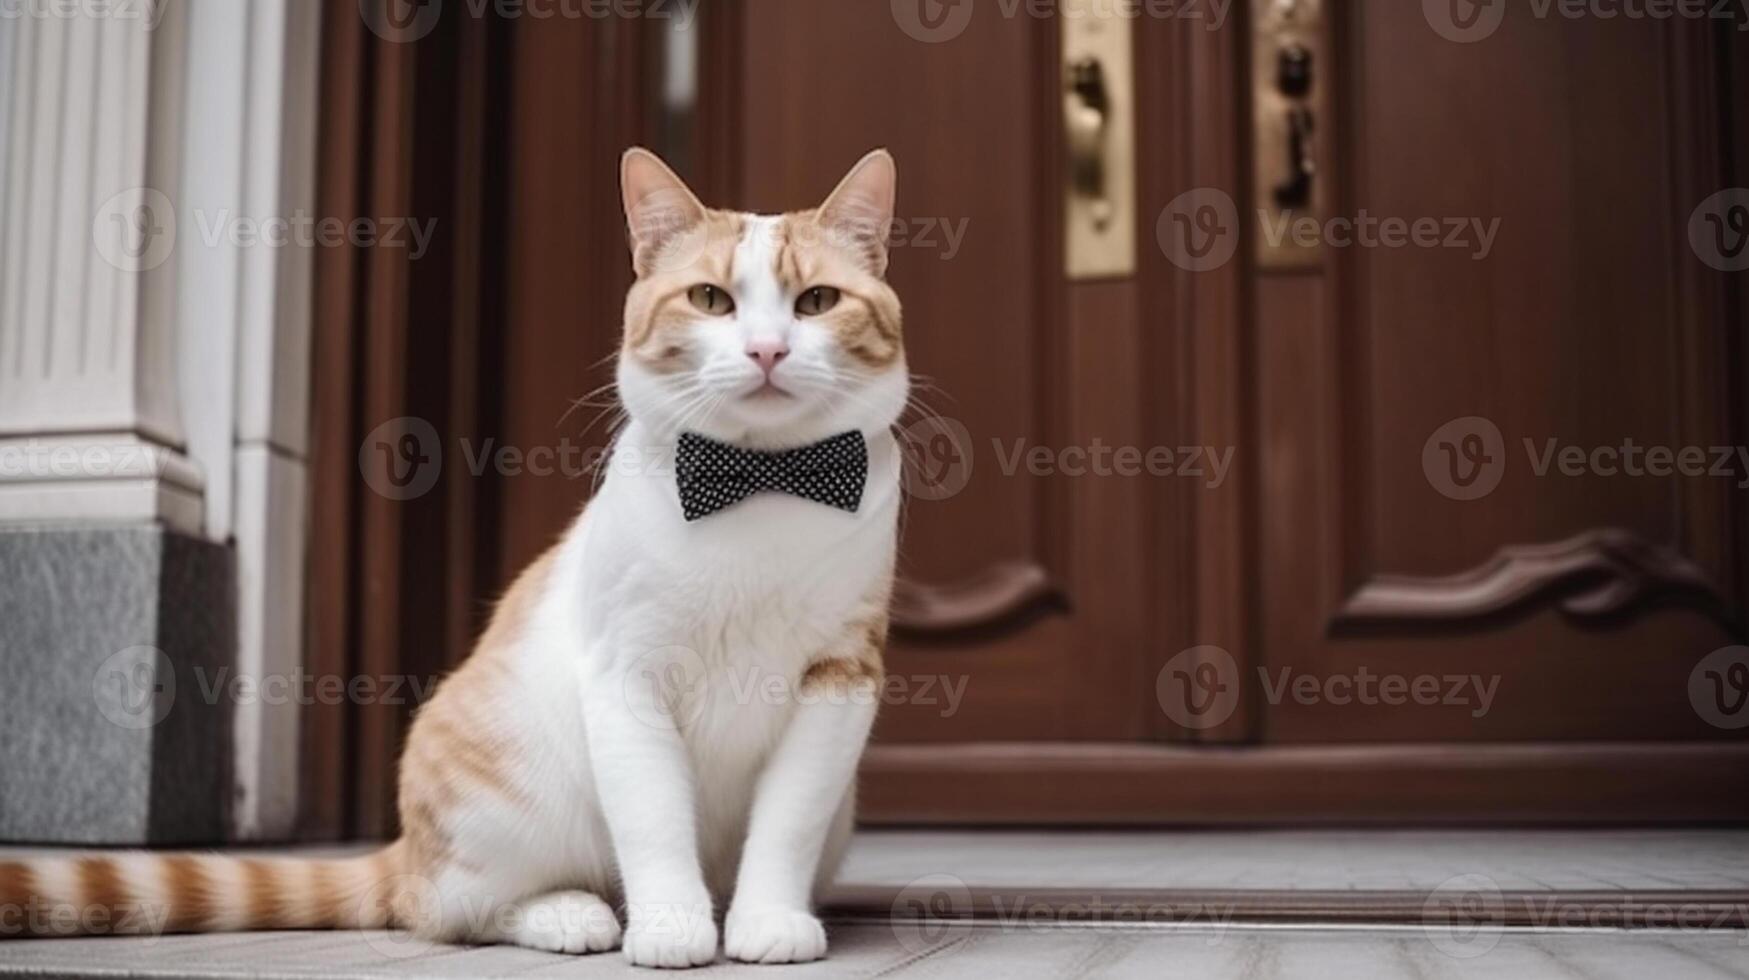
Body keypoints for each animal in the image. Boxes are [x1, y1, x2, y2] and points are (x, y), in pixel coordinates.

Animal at [0, 149, 902, 966]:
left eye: (817, 301)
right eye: (711, 300)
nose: (766, 350)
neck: (759, 482)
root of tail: (403, 848)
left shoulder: (839, 680)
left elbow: (785, 823)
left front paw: (767, 921)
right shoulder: (624, 672)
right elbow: (651, 820)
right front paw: (673, 927)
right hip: (503, 797)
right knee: (444, 907)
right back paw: (570, 913)